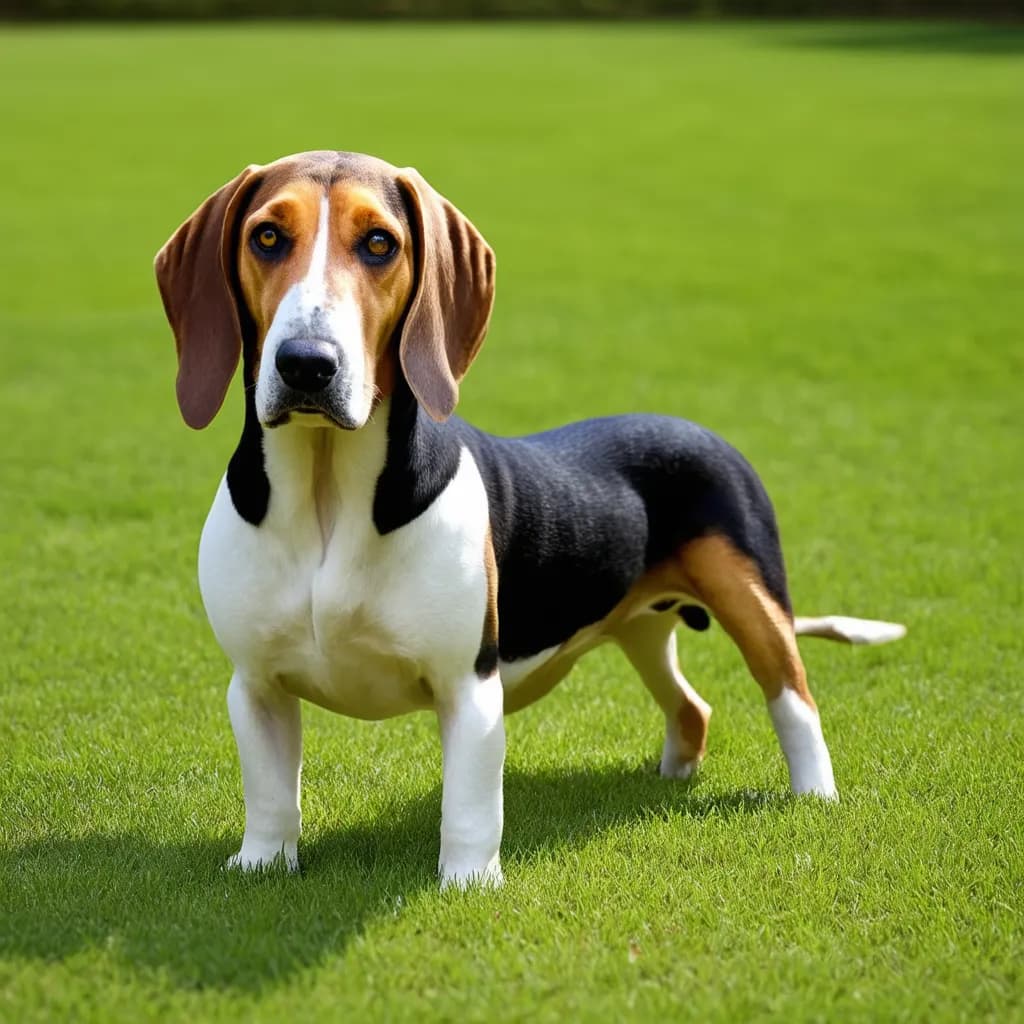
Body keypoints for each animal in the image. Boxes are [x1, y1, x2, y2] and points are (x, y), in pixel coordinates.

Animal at [151, 151, 905, 888]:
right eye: (267, 237)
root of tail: (698, 429)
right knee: (692, 707)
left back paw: (814, 796)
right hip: (641, 626)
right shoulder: (256, 684)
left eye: (379, 244)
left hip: (753, 602)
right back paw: (670, 776)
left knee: (793, 698)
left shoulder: (469, 685)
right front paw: (262, 863)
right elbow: (271, 794)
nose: (307, 364)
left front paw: (468, 885)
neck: (325, 496)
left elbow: (469, 805)